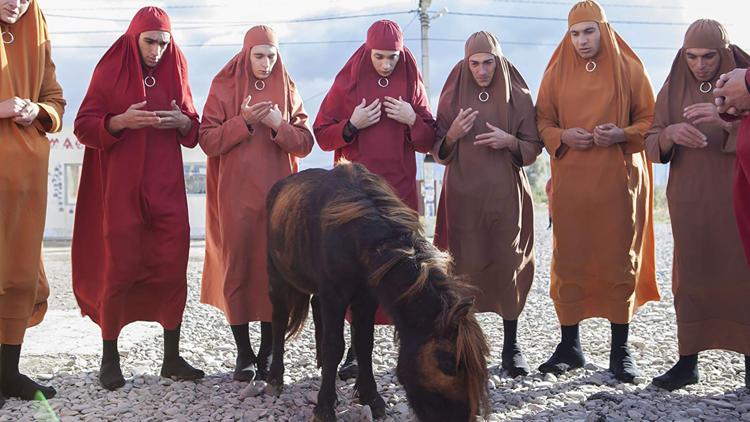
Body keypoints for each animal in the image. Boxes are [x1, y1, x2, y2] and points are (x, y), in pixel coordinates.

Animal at [268, 162, 490, 422]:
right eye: (449, 365)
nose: (464, 417)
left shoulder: (366, 298)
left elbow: (364, 343)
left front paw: (370, 397)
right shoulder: (335, 295)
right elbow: (334, 345)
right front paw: (324, 406)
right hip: (277, 276)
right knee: (279, 320)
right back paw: (274, 377)